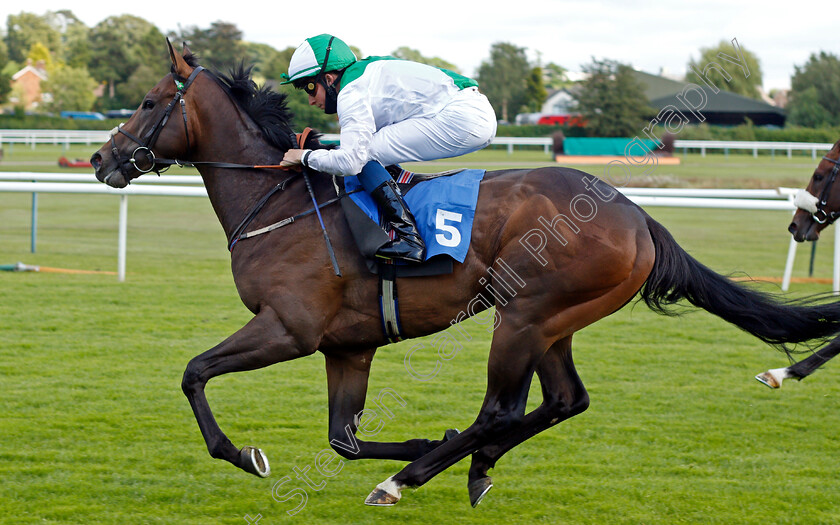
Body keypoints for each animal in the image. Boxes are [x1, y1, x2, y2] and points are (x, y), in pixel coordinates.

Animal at [92, 42, 840, 508]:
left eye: (150, 102)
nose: (101, 158)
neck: (276, 203)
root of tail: (636, 215)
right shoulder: (347, 345)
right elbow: (343, 437)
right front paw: (427, 439)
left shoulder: (289, 328)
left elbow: (194, 371)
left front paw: (245, 453)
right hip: (556, 320)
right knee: (564, 400)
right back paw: (472, 464)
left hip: (523, 314)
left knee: (502, 409)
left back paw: (413, 476)